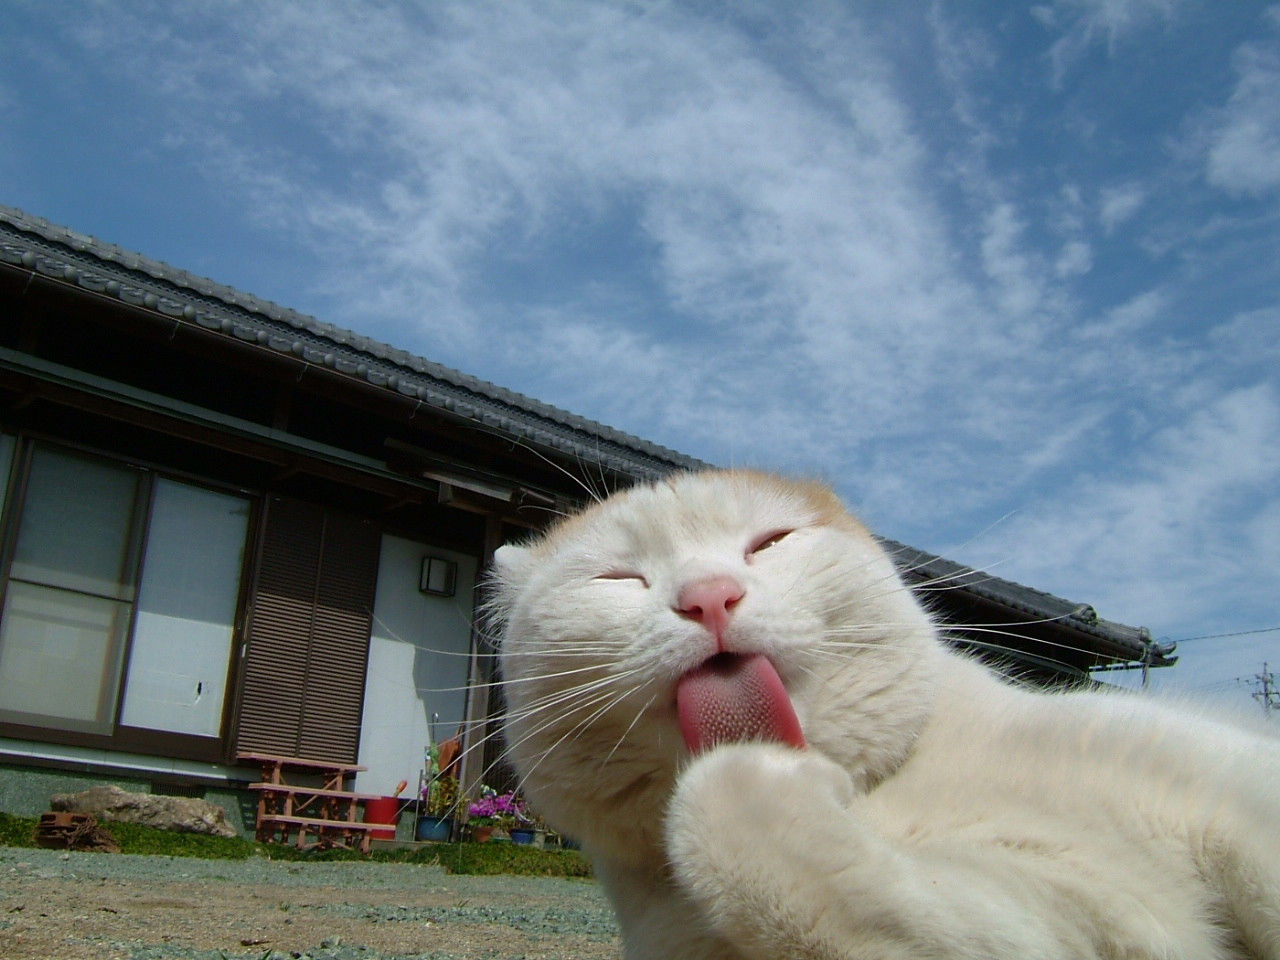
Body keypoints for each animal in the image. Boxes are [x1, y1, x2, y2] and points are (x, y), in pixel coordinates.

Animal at [487, 469, 1280, 960]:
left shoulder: (1226, 807)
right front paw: (776, 782)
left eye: (769, 543)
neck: (882, 800)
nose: (709, 595)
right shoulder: (1060, 912)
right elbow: (740, 817)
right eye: (619, 580)